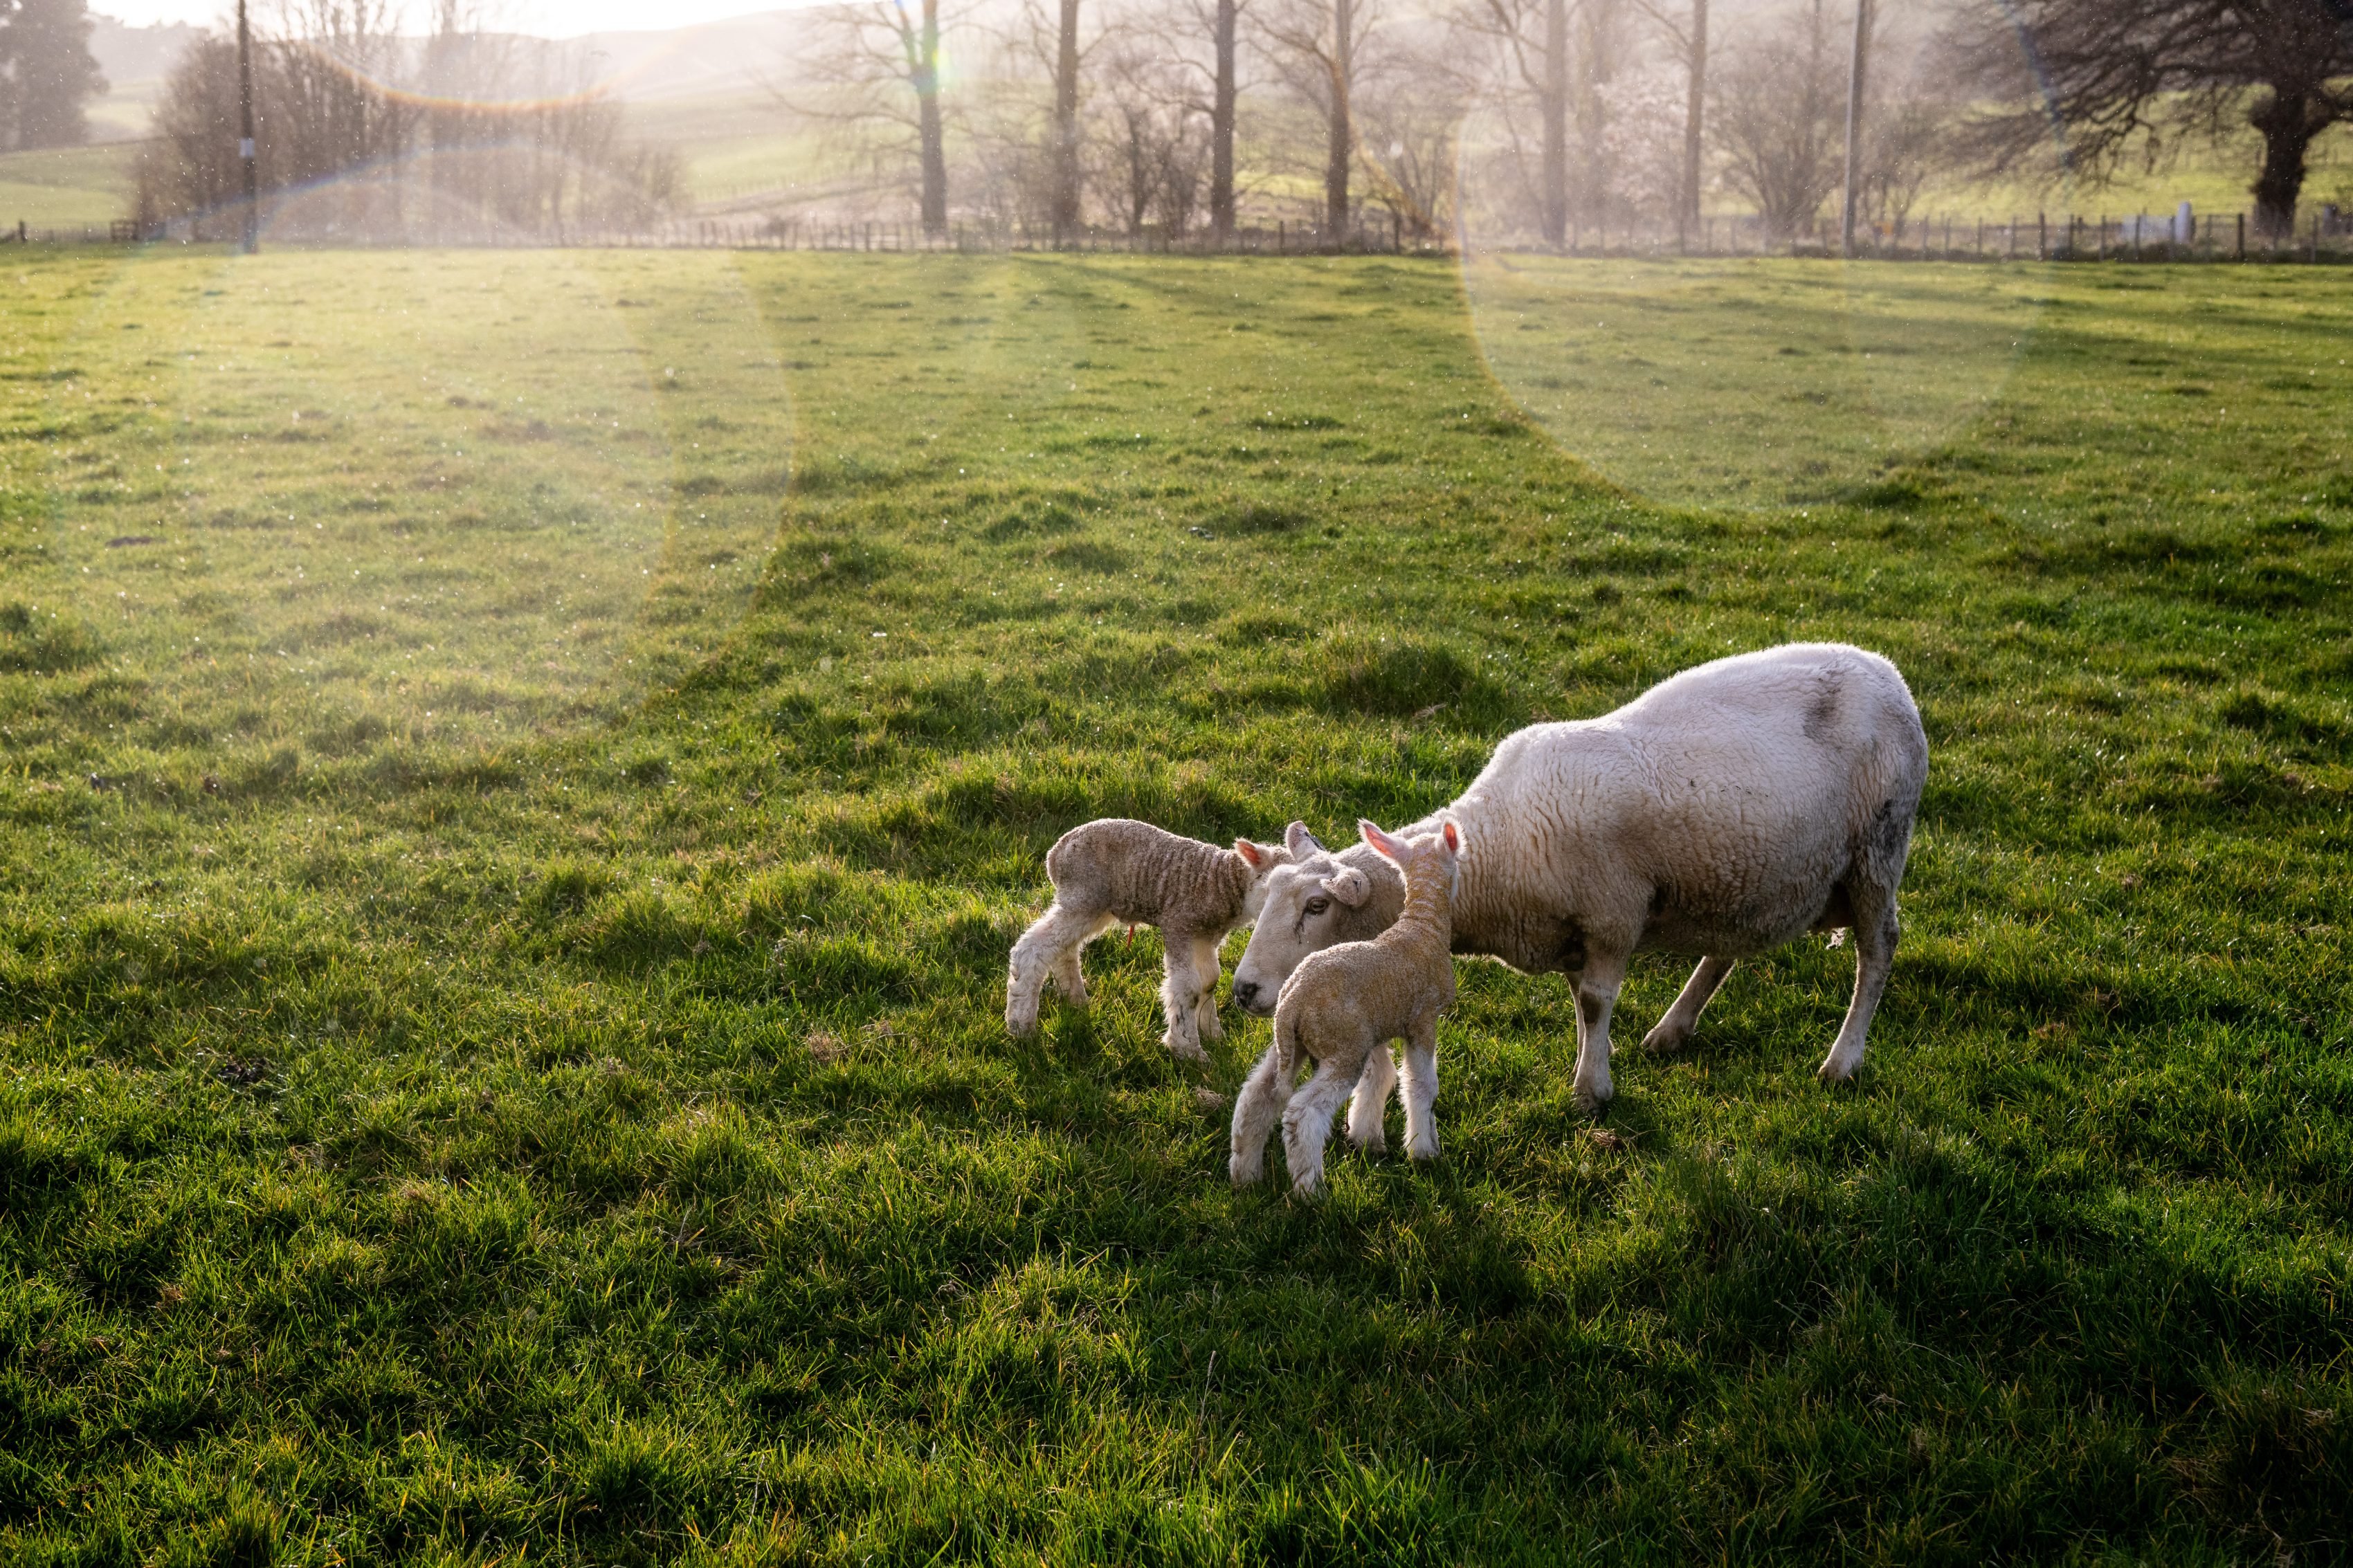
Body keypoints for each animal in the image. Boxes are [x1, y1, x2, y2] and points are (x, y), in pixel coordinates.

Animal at [1005, 819, 1291, 1058]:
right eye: (1273, 886)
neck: (1218, 882)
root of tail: (1055, 853)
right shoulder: (1179, 927)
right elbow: (1187, 988)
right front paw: (1188, 1050)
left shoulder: (1204, 936)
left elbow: (1209, 982)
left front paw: (1214, 1035)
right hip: (1083, 894)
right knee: (1033, 949)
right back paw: (1022, 1026)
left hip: (1093, 905)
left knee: (1064, 948)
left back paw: (1075, 1000)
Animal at [1229, 643, 1928, 1113]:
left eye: (1316, 907)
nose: (1243, 990)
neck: (1498, 848)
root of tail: (1886, 670)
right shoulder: (1570, 929)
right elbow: (1577, 1004)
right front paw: (1596, 1063)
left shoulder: (1614, 915)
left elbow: (1594, 1003)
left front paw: (1591, 1089)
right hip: (1747, 872)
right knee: (1728, 947)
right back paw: (1673, 1028)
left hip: (1876, 854)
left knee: (1878, 951)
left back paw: (1843, 1060)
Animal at [1229, 819, 1460, 1196]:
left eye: (1316, 906)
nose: (1244, 992)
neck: (1420, 925)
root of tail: (1290, 1005)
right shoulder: (1423, 1021)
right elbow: (1421, 1084)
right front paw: (1424, 1152)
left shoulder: (1376, 1024)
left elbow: (1381, 1073)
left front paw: (1367, 1136)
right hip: (1343, 1051)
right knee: (1302, 1114)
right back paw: (1311, 1192)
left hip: (1293, 1047)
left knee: (1255, 1097)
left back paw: (1245, 1178)